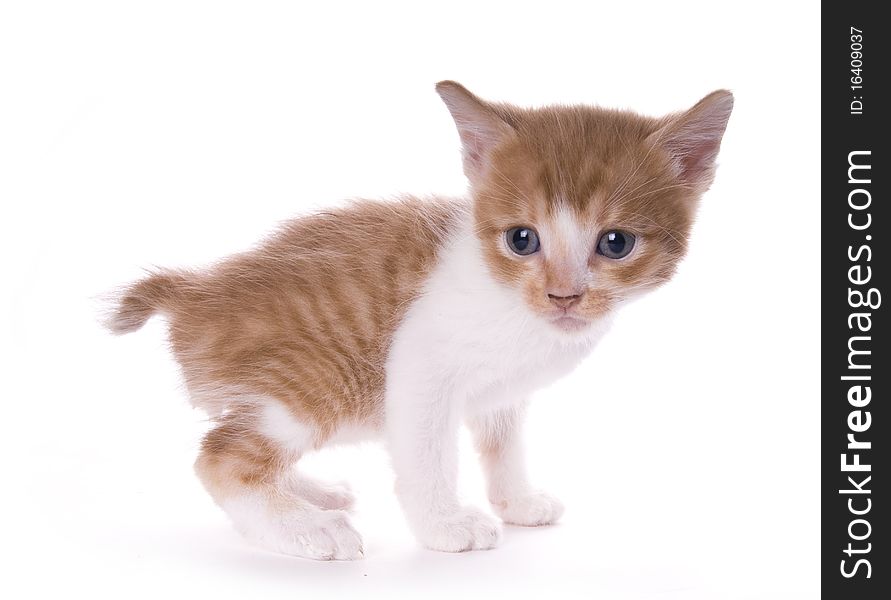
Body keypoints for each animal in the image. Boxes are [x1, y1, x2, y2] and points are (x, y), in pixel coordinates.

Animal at [108, 82, 732, 560]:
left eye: (616, 243)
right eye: (522, 239)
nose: (564, 296)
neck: (514, 306)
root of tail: (196, 289)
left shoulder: (503, 392)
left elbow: (504, 443)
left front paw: (517, 501)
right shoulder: (419, 366)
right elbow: (427, 454)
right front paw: (445, 527)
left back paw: (313, 493)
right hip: (315, 384)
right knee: (221, 459)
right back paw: (308, 527)